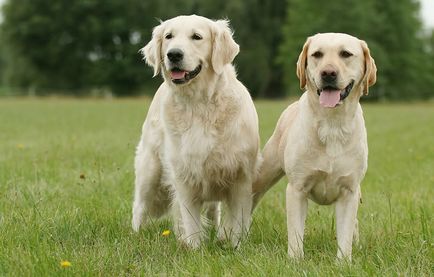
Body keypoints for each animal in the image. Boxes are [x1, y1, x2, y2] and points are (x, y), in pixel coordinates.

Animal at [132, 15, 260, 248]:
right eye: (169, 36)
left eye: (197, 37)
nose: (173, 54)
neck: (198, 105)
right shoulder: (184, 175)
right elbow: (190, 221)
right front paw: (193, 249)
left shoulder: (240, 176)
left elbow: (237, 220)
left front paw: (234, 246)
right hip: (150, 170)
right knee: (139, 206)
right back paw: (135, 235)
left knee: (213, 211)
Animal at [254, 33, 376, 258]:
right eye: (317, 54)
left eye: (346, 54)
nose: (328, 73)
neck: (332, 125)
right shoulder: (297, 189)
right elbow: (295, 235)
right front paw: (295, 260)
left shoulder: (349, 191)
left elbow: (345, 236)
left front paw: (344, 261)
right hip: (265, 173)